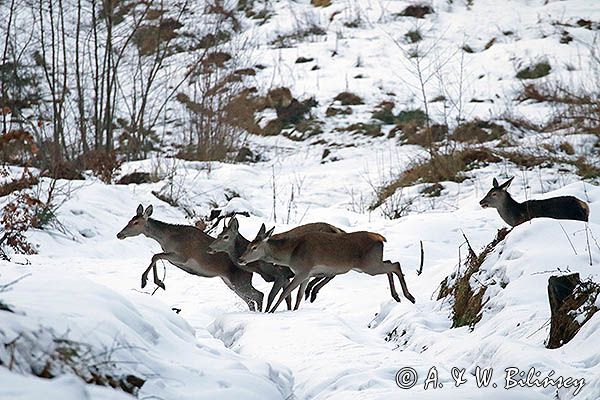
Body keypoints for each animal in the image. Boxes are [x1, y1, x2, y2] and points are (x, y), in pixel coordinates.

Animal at [118, 205, 264, 310]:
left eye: (136, 222)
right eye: (129, 220)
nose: (119, 234)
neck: (166, 239)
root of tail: (252, 268)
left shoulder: (182, 256)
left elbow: (155, 256)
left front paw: (147, 281)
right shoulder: (175, 259)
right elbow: (157, 257)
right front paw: (158, 282)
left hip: (240, 281)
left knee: (258, 295)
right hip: (231, 282)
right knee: (251, 300)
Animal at [209, 217, 344, 310]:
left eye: (225, 237)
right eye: (219, 234)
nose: (209, 248)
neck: (258, 266)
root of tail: (337, 230)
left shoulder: (280, 274)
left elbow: (271, 296)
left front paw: (267, 312)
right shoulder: (286, 277)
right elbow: (288, 297)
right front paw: (290, 310)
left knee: (331, 273)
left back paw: (312, 291)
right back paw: (310, 291)